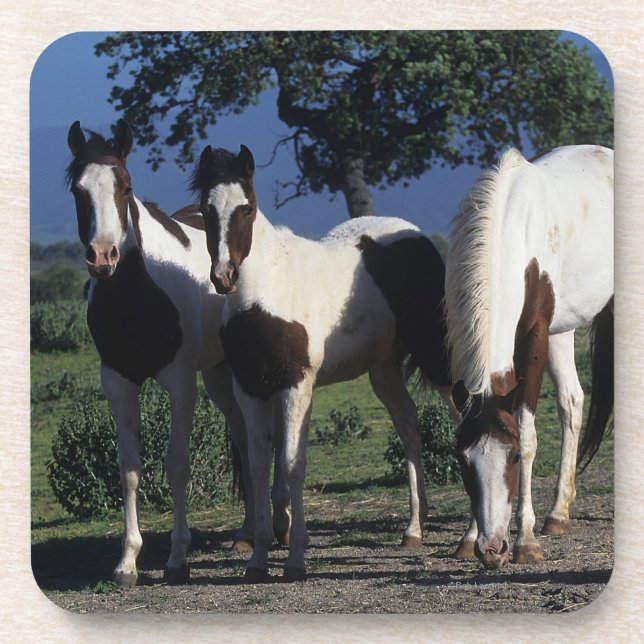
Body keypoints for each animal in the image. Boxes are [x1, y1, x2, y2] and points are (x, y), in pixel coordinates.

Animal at [65, 120, 291, 586]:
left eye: (125, 186)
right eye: (78, 190)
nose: (103, 256)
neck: (137, 297)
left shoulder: (180, 382)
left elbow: (178, 464)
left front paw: (177, 558)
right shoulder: (117, 381)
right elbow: (129, 468)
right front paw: (127, 561)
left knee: (273, 437)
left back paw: (279, 523)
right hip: (221, 376)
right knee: (244, 440)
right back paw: (246, 533)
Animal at [190, 142, 453, 581]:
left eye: (247, 208)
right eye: (205, 209)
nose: (224, 276)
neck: (265, 293)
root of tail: (415, 236)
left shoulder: (296, 387)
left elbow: (292, 464)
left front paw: (296, 558)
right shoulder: (250, 389)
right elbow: (258, 465)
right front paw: (258, 558)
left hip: (439, 358)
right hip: (383, 370)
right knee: (409, 426)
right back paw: (414, 528)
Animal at [444, 145, 614, 568]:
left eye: (515, 458)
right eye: (464, 462)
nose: (492, 549)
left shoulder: (535, 334)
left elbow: (529, 430)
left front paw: (525, 541)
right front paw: (469, 537)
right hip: (562, 329)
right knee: (572, 401)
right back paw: (558, 514)